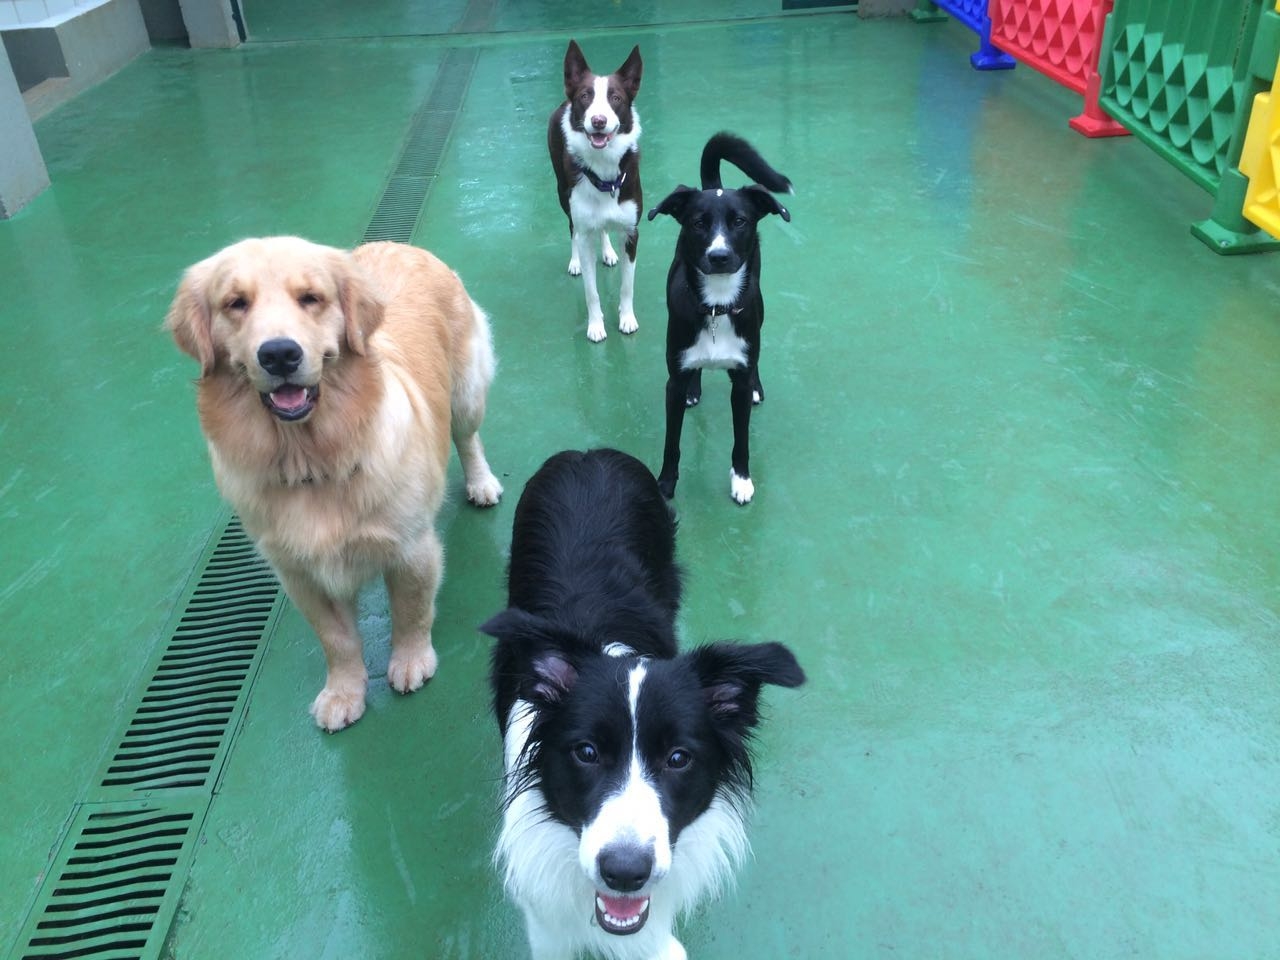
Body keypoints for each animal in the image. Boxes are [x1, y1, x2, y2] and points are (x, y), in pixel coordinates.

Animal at [650, 132, 788, 506]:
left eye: (740, 221)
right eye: (698, 223)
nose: (720, 256)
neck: (716, 305)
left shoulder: (737, 383)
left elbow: (742, 440)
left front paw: (741, 480)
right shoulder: (672, 381)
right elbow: (671, 443)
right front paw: (665, 485)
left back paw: (757, 386)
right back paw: (695, 389)